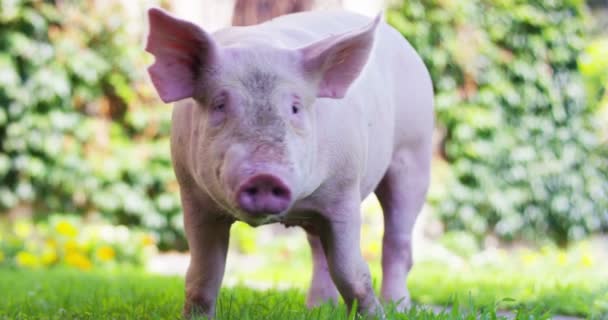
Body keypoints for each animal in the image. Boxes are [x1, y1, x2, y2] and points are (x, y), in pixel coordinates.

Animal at [145, 6, 434, 316]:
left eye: (295, 108)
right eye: (219, 105)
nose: (264, 176)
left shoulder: (345, 189)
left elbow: (351, 271)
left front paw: (376, 315)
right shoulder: (193, 196)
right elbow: (202, 275)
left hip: (414, 154)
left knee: (397, 241)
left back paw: (397, 307)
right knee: (319, 249)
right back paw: (318, 308)